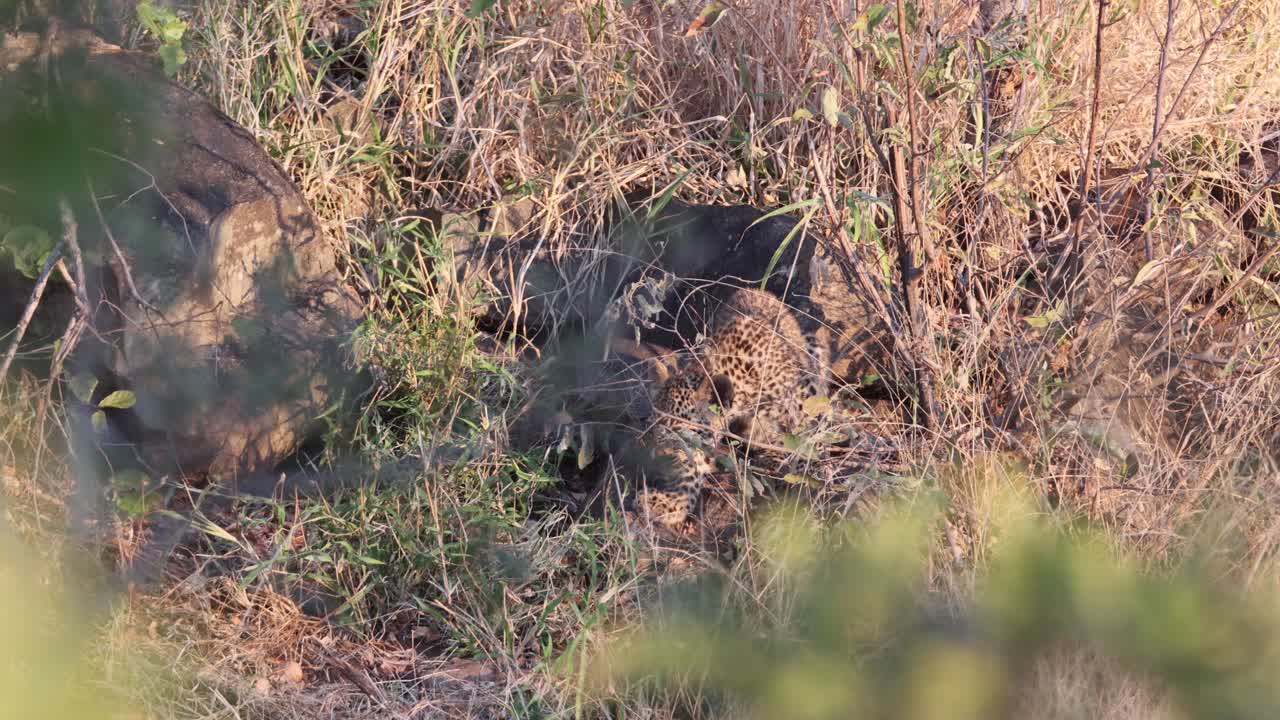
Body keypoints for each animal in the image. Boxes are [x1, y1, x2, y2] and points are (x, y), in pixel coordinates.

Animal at [624, 286, 832, 527]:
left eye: (679, 435)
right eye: (652, 428)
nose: (658, 460)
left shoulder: (803, 400)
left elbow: (810, 439)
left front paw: (809, 481)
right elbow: (693, 464)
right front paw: (670, 501)